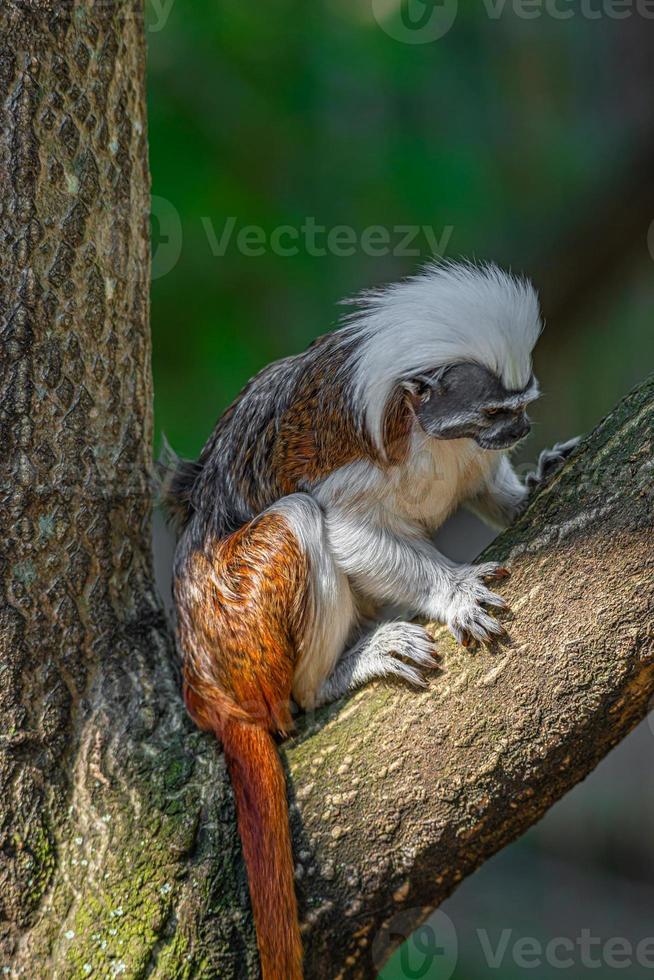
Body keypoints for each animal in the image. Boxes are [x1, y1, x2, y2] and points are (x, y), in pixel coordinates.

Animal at [161, 260, 580, 980]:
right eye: (495, 411)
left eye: (523, 406)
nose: (520, 431)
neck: (429, 437)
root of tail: (205, 679)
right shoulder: (358, 459)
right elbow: (345, 528)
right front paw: (453, 591)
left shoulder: (469, 456)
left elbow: (483, 485)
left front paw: (535, 480)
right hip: (237, 625)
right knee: (298, 521)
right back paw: (339, 672)